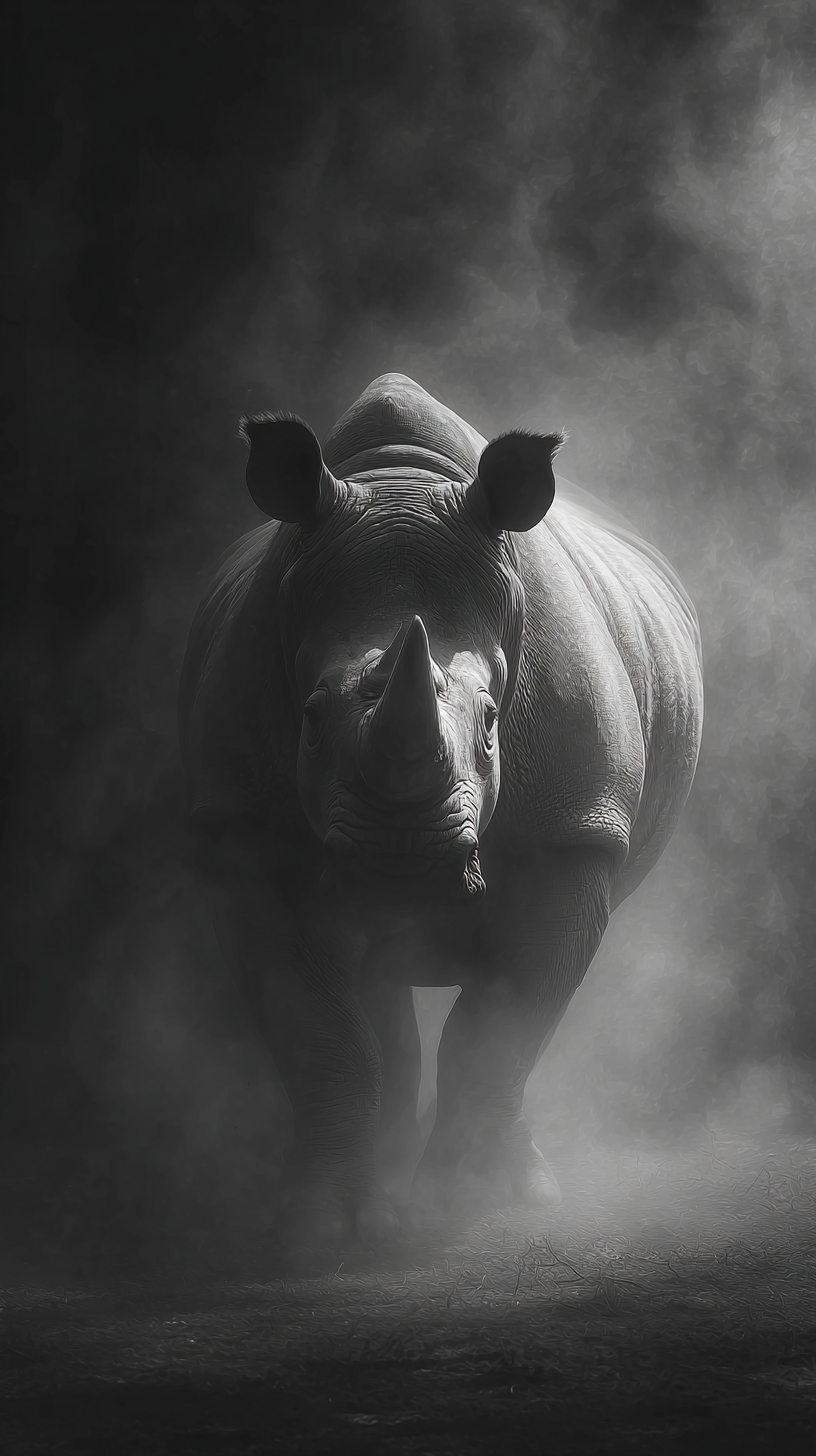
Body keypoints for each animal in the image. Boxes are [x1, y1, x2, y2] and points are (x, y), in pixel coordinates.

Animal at [179, 373, 703, 1244]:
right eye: (310, 721)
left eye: (493, 724)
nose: (402, 863)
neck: (400, 482)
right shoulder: (240, 835)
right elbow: (320, 1031)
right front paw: (323, 1224)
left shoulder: (574, 837)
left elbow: (500, 1029)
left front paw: (463, 1209)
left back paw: (511, 1186)